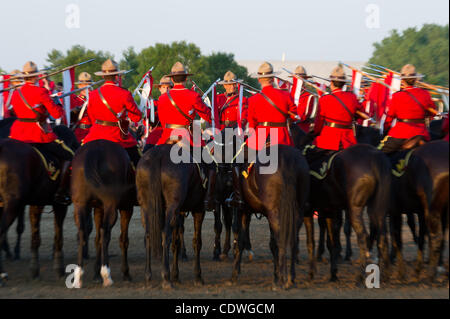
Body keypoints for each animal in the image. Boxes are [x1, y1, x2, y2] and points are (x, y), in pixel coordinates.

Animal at [0, 124, 79, 284]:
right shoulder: (60, 205)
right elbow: (58, 236)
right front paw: (59, 269)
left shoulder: (37, 203)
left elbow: (35, 237)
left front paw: (34, 271)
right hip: (11, 206)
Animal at [71, 140, 135, 288]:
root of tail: (94, 152)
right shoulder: (126, 208)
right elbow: (123, 240)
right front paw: (126, 273)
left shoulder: (98, 208)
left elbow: (97, 239)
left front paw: (95, 274)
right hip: (110, 205)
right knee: (105, 233)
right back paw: (106, 275)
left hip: (80, 204)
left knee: (82, 233)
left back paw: (78, 276)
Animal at [136, 144, 208, 288]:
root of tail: (158, 154)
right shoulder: (199, 208)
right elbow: (197, 242)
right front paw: (197, 276)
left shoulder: (179, 212)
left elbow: (176, 242)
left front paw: (176, 275)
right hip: (171, 206)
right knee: (165, 234)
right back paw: (166, 277)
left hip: (146, 206)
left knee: (148, 235)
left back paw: (148, 276)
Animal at [292, 125, 390, 282]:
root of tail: (375, 158)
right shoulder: (329, 210)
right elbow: (332, 241)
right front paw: (333, 272)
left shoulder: (307, 210)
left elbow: (310, 240)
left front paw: (312, 271)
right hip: (377, 209)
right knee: (381, 234)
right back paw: (385, 274)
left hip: (355, 209)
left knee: (363, 236)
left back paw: (360, 275)